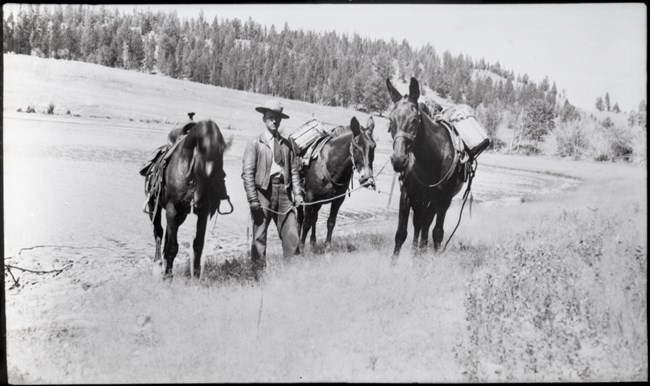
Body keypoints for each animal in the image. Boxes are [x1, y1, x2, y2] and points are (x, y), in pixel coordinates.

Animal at [148, 119, 229, 278]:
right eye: (201, 151)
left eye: (220, 157)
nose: (202, 196)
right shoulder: (172, 209)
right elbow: (172, 246)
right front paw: (167, 277)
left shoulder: (205, 213)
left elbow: (198, 245)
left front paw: (196, 276)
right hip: (154, 205)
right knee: (158, 232)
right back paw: (158, 265)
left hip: (181, 215)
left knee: (167, 234)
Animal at [298, 117, 374, 249]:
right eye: (355, 147)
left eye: (373, 146)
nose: (366, 177)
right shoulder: (309, 198)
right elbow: (306, 222)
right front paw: (301, 248)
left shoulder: (338, 200)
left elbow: (331, 222)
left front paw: (327, 246)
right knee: (301, 219)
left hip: (319, 202)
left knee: (314, 217)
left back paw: (313, 241)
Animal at [388, 77, 464, 260]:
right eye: (390, 120)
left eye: (414, 120)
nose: (399, 160)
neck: (431, 160)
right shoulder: (407, 194)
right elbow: (401, 234)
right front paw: (393, 263)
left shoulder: (444, 199)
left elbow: (437, 233)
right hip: (422, 200)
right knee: (420, 224)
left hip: (433, 202)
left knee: (426, 225)